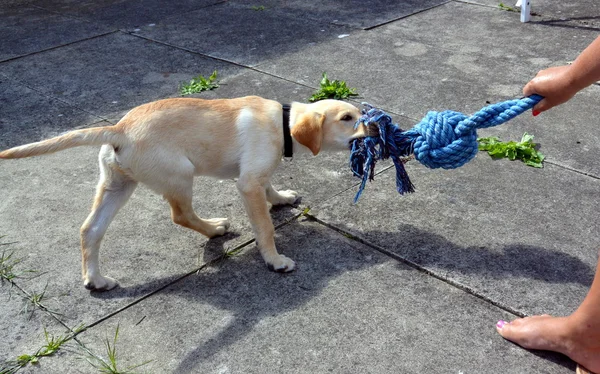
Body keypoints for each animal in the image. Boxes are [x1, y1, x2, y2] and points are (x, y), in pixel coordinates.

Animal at [0, 95, 366, 290]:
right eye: (348, 118)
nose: (376, 126)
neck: (284, 123)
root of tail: (119, 129)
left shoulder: (256, 174)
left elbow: (269, 186)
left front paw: (281, 199)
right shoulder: (247, 183)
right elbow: (264, 228)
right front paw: (274, 260)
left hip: (116, 185)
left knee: (89, 229)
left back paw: (95, 279)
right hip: (180, 174)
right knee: (181, 215)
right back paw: (214, 228)